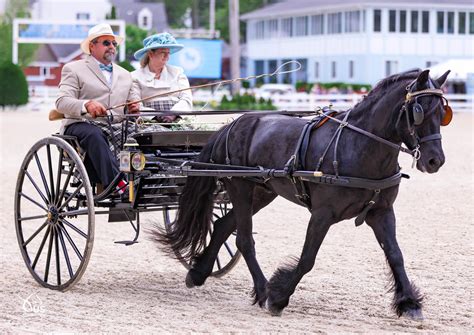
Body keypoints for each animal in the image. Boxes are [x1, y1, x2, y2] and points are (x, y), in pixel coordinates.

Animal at [156, 70, 452, 320]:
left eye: (442, 113)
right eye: (419, 111)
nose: (435, 161)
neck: (358, 146)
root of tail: (231, 125)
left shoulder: (381, 212)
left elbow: (395, 254)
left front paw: (410, 303)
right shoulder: (322, 214)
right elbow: (308, 258)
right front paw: (278, 297)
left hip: (261, 193)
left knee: (222, 226)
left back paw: (198, 273)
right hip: (240, 187)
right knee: (243, 240)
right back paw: (263, 290)